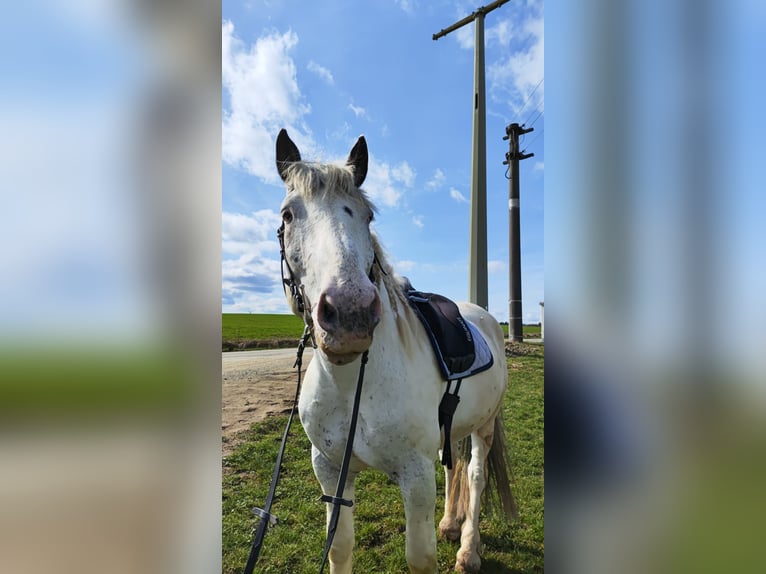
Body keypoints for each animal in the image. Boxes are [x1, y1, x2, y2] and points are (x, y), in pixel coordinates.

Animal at [274, 130, 516, 574]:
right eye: (288, 215)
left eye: (367, 216)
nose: (349, 312)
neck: (353, 385)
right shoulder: (330, 470)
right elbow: (339, 547)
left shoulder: (416, 476)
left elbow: (419, 558)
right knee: (454, 463)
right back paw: (450, 523)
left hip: (485, 425)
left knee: (475, 475)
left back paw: (468, 549)